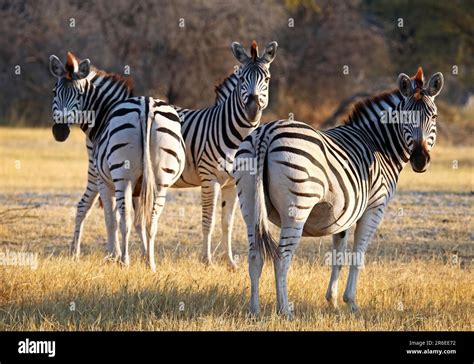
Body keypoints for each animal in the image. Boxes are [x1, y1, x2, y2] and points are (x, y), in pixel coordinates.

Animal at [48, 52, 185, 272]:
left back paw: (124, 261)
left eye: (79, 95)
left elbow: (109, 217)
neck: (104, 114)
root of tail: (146, 106)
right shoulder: (140, 185)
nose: (60, 132)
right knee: (152, 220)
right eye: (54, 92)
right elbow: (139, 221)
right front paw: (143, 255)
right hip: (161, 180)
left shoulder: (102, 177)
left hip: (122, 177)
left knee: (122, 218)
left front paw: (113, 255)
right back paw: (151, 264)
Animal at [173, 40, 278, 268]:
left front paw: (230, 263)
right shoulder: (209, 179)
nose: (252, 110)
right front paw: (207, 261)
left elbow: (226, 223)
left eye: (267, 79)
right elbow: (208, 221)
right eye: (242, 79)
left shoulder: (232, 183)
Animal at [233, 67, 444, 316]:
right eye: (405, 118)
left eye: (433, 117)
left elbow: (339, 257)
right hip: (297, 208)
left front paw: (332, 301)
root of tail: (265, 132)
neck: (379, 145)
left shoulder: (343, 213)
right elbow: (357, 256)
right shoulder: (375, 208)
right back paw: (285, 311)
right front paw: (351, 302)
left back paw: (254, 309)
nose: (420, 160)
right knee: (281, 258)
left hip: (249, 205)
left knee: (255, 256)